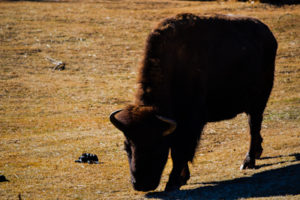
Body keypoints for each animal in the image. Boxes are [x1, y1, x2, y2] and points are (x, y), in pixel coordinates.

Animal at [109, 13, 278, 191]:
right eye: (126, 146)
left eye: (156, 145)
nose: (140, 184)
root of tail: (268, 34)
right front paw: (182, 178)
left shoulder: (191, 124)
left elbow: (179, 152)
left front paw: (173, 183)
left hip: (258, 102)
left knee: (254, 127)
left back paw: (248, 162)